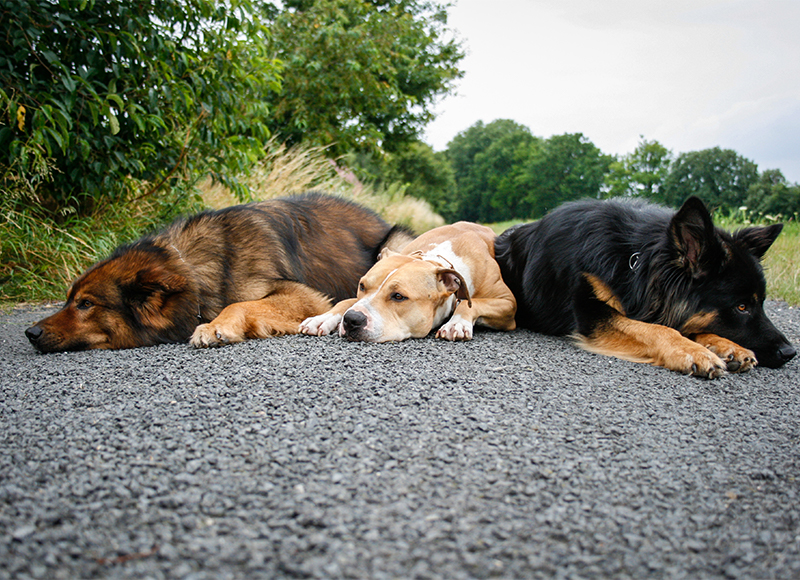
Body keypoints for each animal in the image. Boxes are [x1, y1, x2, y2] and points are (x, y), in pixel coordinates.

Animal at [25, 194, 412, 354]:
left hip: (395, 243)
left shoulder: (303, 295)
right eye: (70, 300)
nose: (30, 333)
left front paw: (214, 327)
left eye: (86, 304)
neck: (193, 267)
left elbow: (237, 304)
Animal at [296, 221, 516, 340]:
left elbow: (471, 304)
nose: (352, 319)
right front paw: (322, 318)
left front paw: (457, 323)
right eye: (362, 285)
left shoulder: (508, 303)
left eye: (399, 296)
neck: (435, 259)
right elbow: (347, 301)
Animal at [496, 195, 796, 376]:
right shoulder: (592, 312)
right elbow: (655, 329)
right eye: (741, 306)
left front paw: (726, 346)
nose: (790, 352)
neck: (634, 261)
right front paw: (691, 351)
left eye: (761, 303)